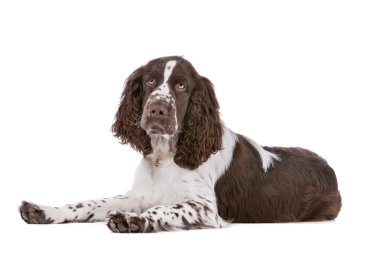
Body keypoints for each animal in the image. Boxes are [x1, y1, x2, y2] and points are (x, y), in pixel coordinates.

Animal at [19, 56, 342, 232]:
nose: (157, 110)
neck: (165, 156)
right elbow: (90, 203)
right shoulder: (139, 194)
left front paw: (132, 220)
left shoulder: (205, 208)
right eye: (150, 81)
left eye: (182, 85)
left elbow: (163, 210)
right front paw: (46, 211)